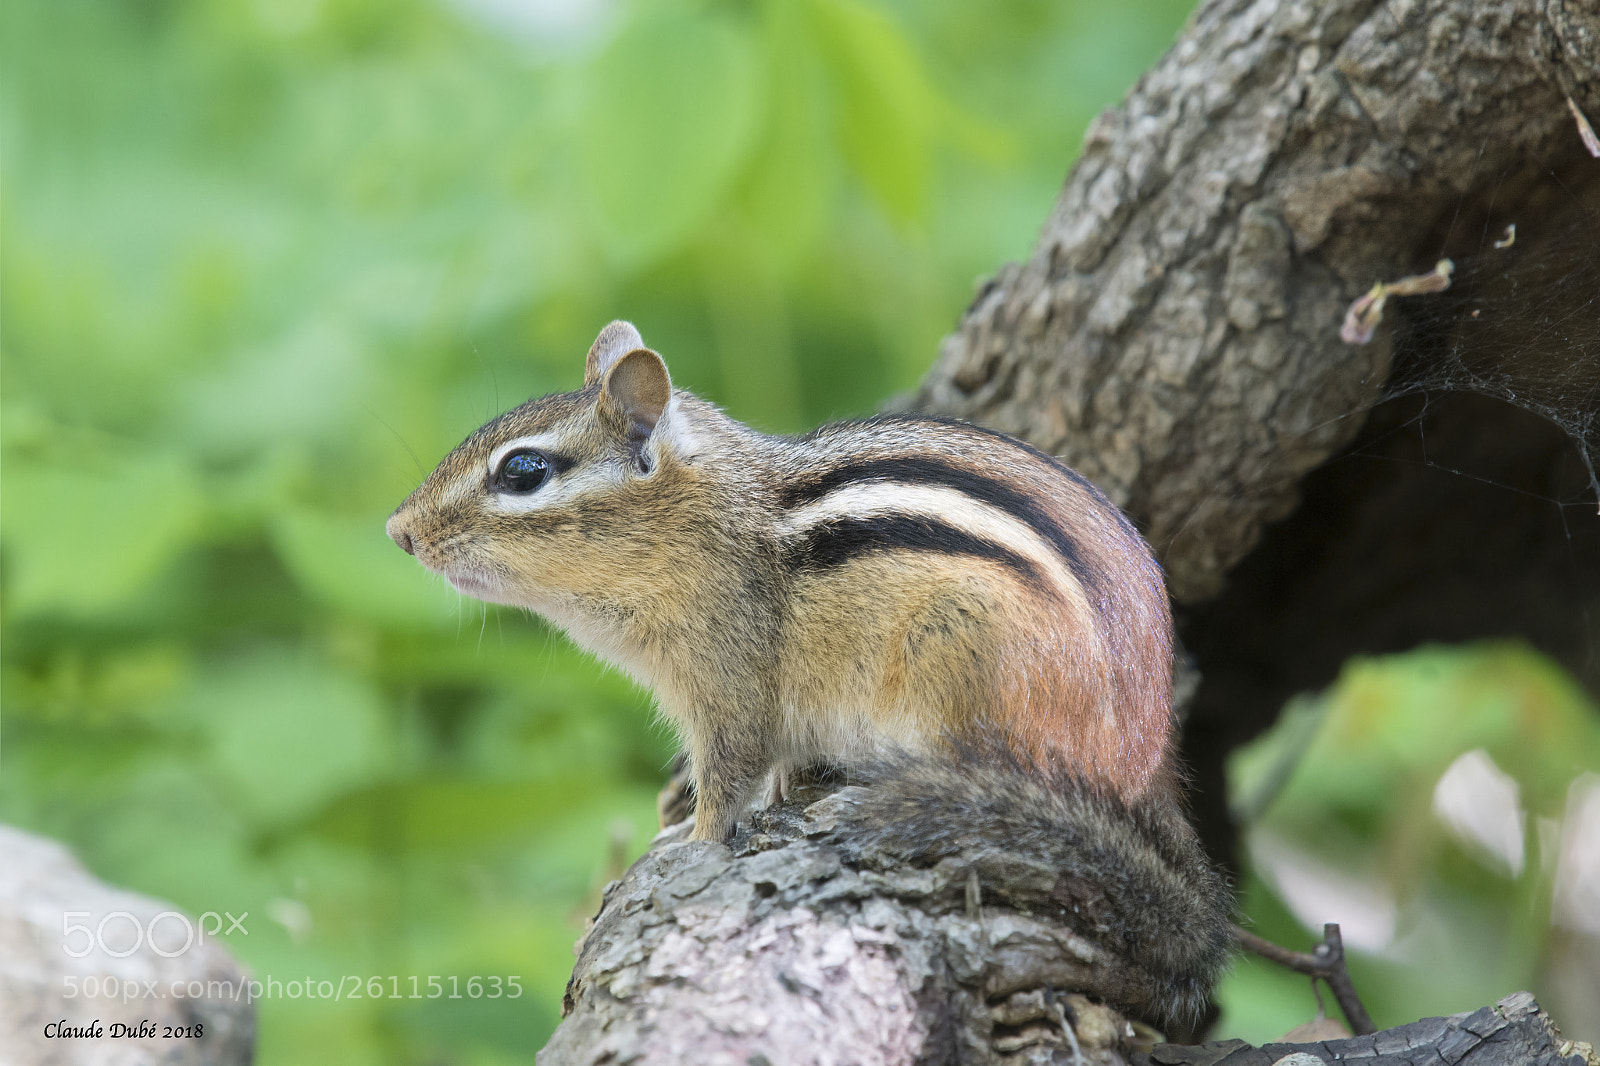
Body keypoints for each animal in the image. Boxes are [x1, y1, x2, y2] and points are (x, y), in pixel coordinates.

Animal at [387, 321, 1231, 1025]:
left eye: (523, 471)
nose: (398, 532)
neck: (696, 521)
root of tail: (1141, 760)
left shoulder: (728, 682)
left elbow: (728, 773)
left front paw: (690, 845)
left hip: (964, 663)